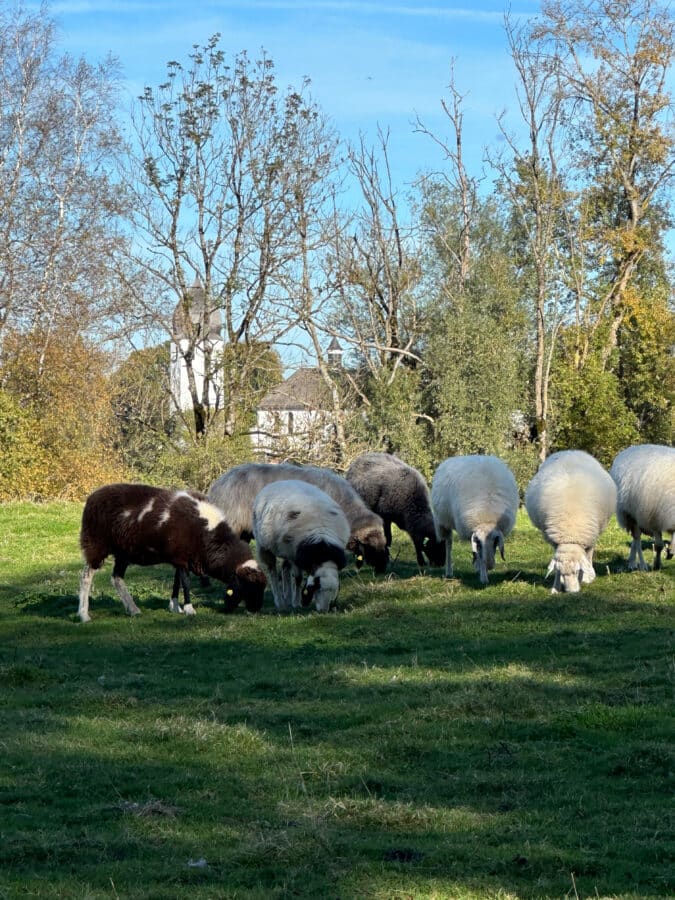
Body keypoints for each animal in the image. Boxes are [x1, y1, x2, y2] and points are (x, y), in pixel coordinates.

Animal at [78, 482, 266, 624]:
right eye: (247, 586)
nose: (255, 611)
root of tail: (93, 497)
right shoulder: (181, 556)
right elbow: (186, 582)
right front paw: (189, 609)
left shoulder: (180, 557)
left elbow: (177, 581)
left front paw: (175, 606)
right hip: (96, 543)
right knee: (86, 576)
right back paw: (84, 614)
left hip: (124, 552)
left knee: (116, 578)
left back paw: (133, 609)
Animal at [251, 478, 352, 612]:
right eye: (317, 588)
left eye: (333, 592)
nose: (323, 611)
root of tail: (282, 481)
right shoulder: (294, 554)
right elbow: (298, 578)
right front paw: (297, 602)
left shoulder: (294, 553)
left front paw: (293, 600)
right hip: (265, 546)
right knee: (272, 572)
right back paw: (280, 603)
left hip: (284, 548)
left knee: (284, 568)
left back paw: (287, 597)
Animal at [430, 454, 520, 588]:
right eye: (479, 542)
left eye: (495, 541)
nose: (490, 565)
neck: (486, 520)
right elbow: (479, 555)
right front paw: (483, 578)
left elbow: (480, 555)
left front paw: (481, 570)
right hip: (443, 522)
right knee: (448, 544)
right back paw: (449, 571)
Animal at [524, 448, 620, 592]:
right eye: (562, 572)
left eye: (576, 571)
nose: (571, 592)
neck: (570, 533)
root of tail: (571, 451)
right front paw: (556, 587)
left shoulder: (589, 539)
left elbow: (587, 558)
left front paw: (585, 577)